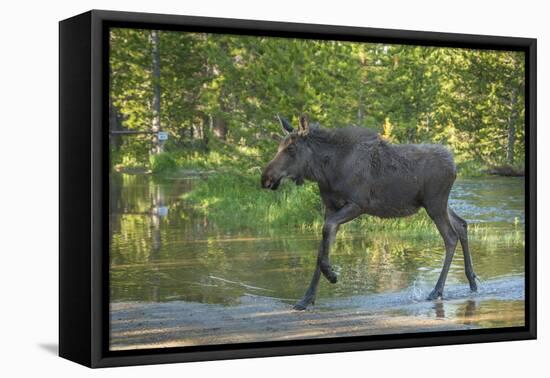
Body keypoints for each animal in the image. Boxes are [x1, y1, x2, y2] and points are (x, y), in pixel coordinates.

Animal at [260, 114, 480, 310]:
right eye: (278, 147)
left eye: (291, 148)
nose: (266, 178)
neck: (325, 172)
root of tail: (454, 166)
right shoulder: (330, 208)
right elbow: (321, 249)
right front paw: (306, 299)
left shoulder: (358, 205)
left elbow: (326, 232)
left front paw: (332, 275)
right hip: (439, 204)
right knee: (462, 224)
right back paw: (472, 282)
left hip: (435, 204)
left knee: (450, 236)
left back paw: (437, 290)